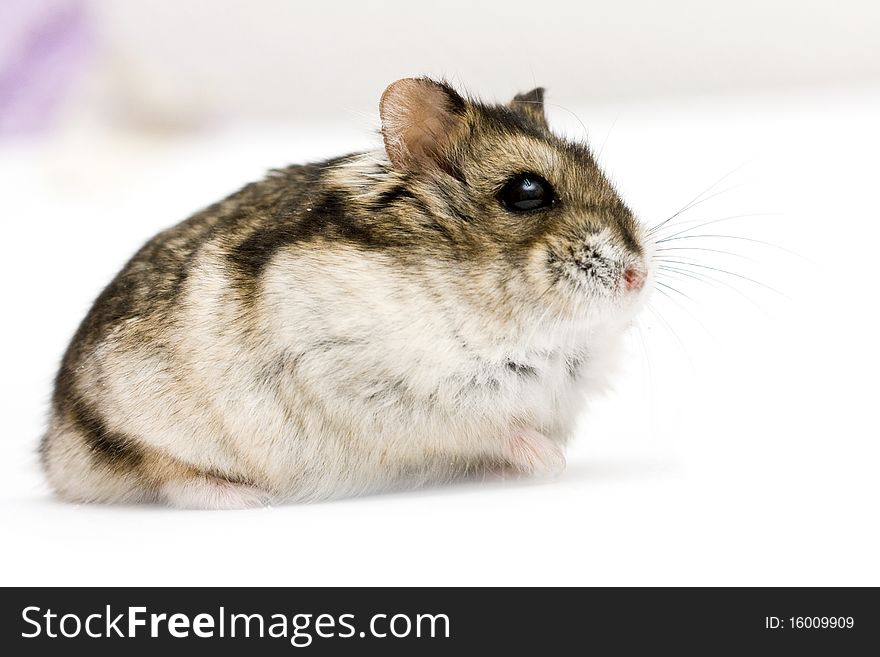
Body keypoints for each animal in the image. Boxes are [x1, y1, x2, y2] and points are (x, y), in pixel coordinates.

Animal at [37, 77, 648, 508]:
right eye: (526, 191)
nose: (638, 276)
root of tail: (54, 448)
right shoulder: (380, 391)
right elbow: (493, 427)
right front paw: (550, 460)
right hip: (143, 430)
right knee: (168, 475)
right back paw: (246, 498)